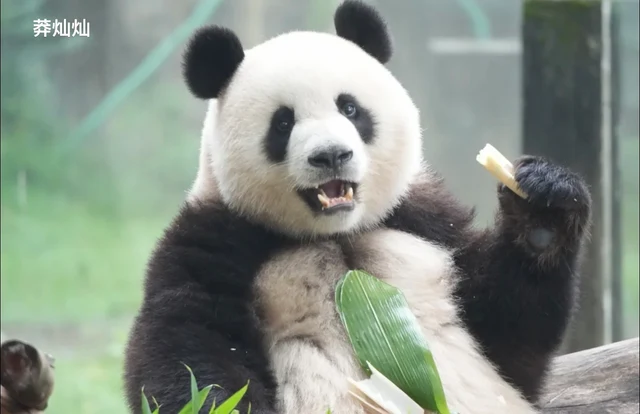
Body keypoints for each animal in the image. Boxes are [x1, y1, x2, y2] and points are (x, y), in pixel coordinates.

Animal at [123, 1, 592, 413]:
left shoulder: (428, 221)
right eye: (283, 123)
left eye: (349, 108)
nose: (331, 155)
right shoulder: (217, 236)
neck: (337, 229)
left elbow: (510, 328)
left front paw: (544, 205)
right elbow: (188, 345)